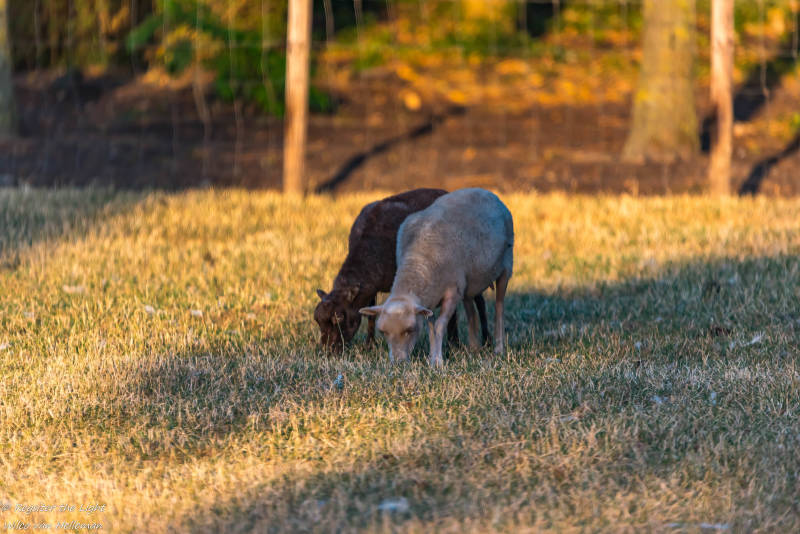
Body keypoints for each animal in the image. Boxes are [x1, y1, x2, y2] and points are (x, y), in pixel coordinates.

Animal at [314, 188, 489, 353]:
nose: (328, 351)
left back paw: (483, 340)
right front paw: (370, 345)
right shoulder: (371, 289)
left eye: (339, 317)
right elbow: (371, 314)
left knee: (479, 301)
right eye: (317, 320)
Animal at [359, 188, 513, 366]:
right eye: (383, 331)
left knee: (499, 306)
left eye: (410, 330)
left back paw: (498, 349)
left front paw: (437, 362)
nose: (397, 363)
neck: (418, 261)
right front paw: (432, 358)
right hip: (468, 282)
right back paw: (474, 348)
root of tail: (487, 192)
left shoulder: (452, 292)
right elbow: (431, 328)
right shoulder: (429, 299)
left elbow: (439, 325)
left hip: (506, 265)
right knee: (471, 309)